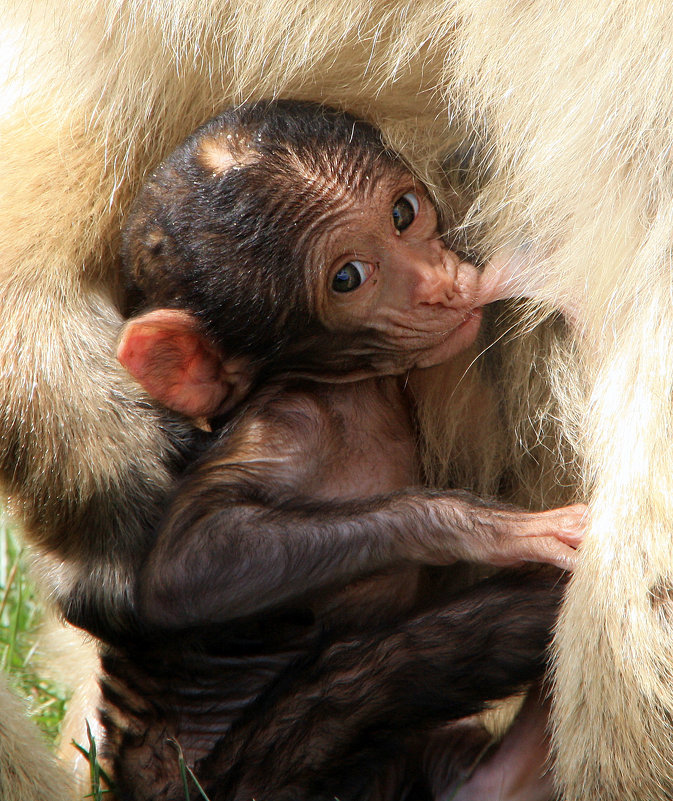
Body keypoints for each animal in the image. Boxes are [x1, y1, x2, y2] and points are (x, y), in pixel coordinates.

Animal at [115, 101, 584, 800]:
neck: (356, 389)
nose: (441, 287)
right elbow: (188, 564)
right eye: (348, 277)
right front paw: (487, 528)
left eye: (403, 214)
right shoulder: (288, 425)